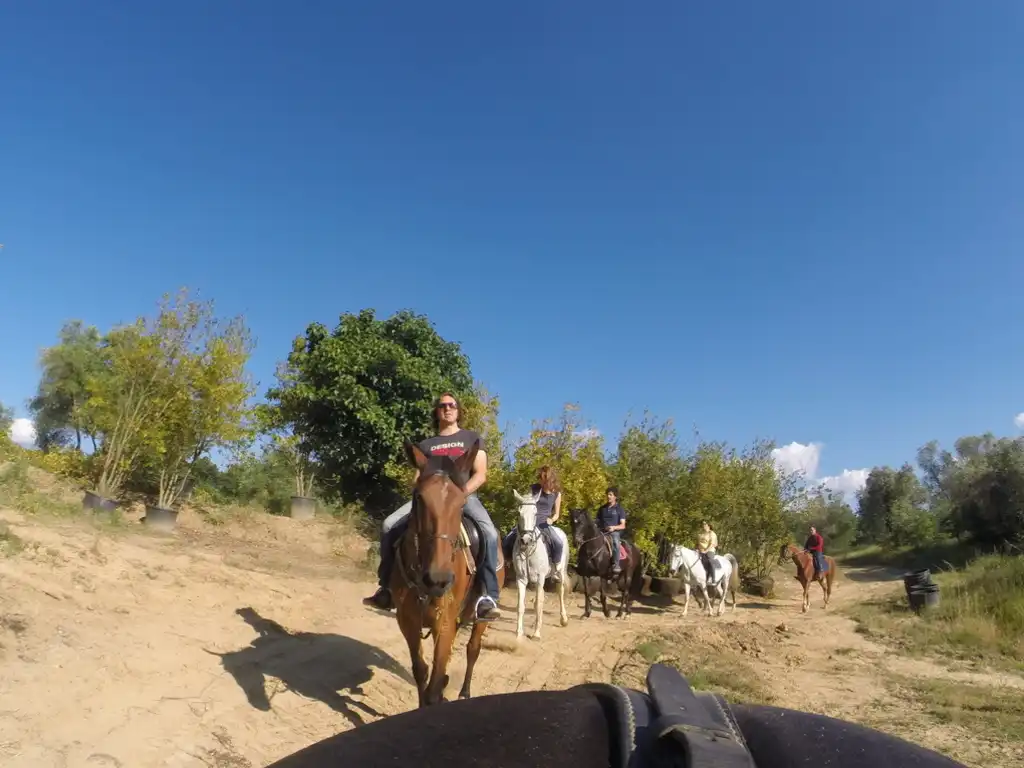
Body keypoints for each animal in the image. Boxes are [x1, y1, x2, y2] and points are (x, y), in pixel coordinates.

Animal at [390, 438, 505, 705]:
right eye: (419, 498)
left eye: (462, 502)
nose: (438, 580)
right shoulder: (407, 621)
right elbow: (421, 672)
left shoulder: (444, 621)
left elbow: (434, 683)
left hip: (479, 616)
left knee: (473, 649)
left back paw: (464, 692)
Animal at [512, 488, 570, 639]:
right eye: (518, 513)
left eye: (535, 513)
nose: (526, 540)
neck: (528, 551)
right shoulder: (521, 578)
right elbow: (520, 606)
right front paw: (519, 634)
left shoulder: (540, 578)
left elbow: (538, 604)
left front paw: (537, 633)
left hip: (560, 573)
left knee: (560, 592)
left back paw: (564, 619)